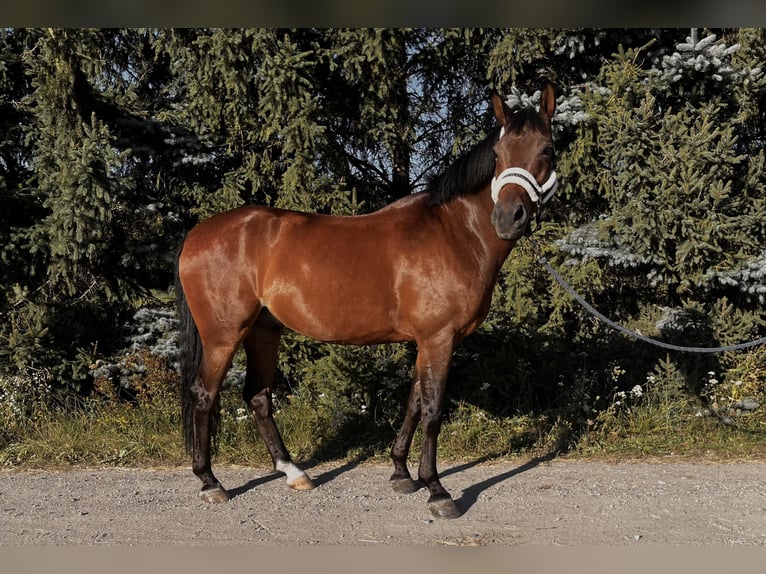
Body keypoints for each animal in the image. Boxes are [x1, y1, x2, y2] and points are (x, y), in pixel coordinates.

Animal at [176, 83, 560, 520]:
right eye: (498, 154)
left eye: (547, 149)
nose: (508, 217)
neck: (455, 232)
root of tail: (197, 234)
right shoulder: (439, 338)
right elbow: (432, 410)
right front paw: (437, 490)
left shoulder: (426, 341)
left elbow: (414, 402)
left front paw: (401, 473)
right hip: (224, 335)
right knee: (204, 395)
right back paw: (210, 482)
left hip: (264, 332)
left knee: (257, 396)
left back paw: (294, 472)